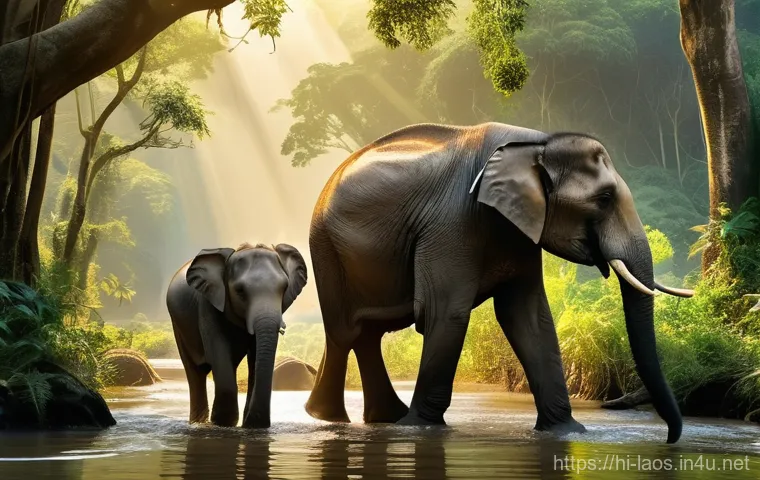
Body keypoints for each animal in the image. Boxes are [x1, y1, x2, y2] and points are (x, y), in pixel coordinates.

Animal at [166, 242, 307, 428]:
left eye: (284, 288)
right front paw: (222, 422)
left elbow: (254, 356)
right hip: (178, 325)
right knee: (195, 373)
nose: (254, 421)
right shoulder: (208, 304)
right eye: (240, 291)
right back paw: (199, 423)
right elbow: (218, 351)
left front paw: (249, 424)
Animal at [304, 122, 694, 443]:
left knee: (366, 334)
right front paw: (421, 429)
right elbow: (446, 312)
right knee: (346, 332)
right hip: (325, 248)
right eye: (605, 199)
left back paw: (381, 419)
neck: (536, 142)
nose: (670, 439)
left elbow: (529, 317)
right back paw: (334, 418)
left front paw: (567, 432)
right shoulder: (452, 222)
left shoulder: (520, 228)